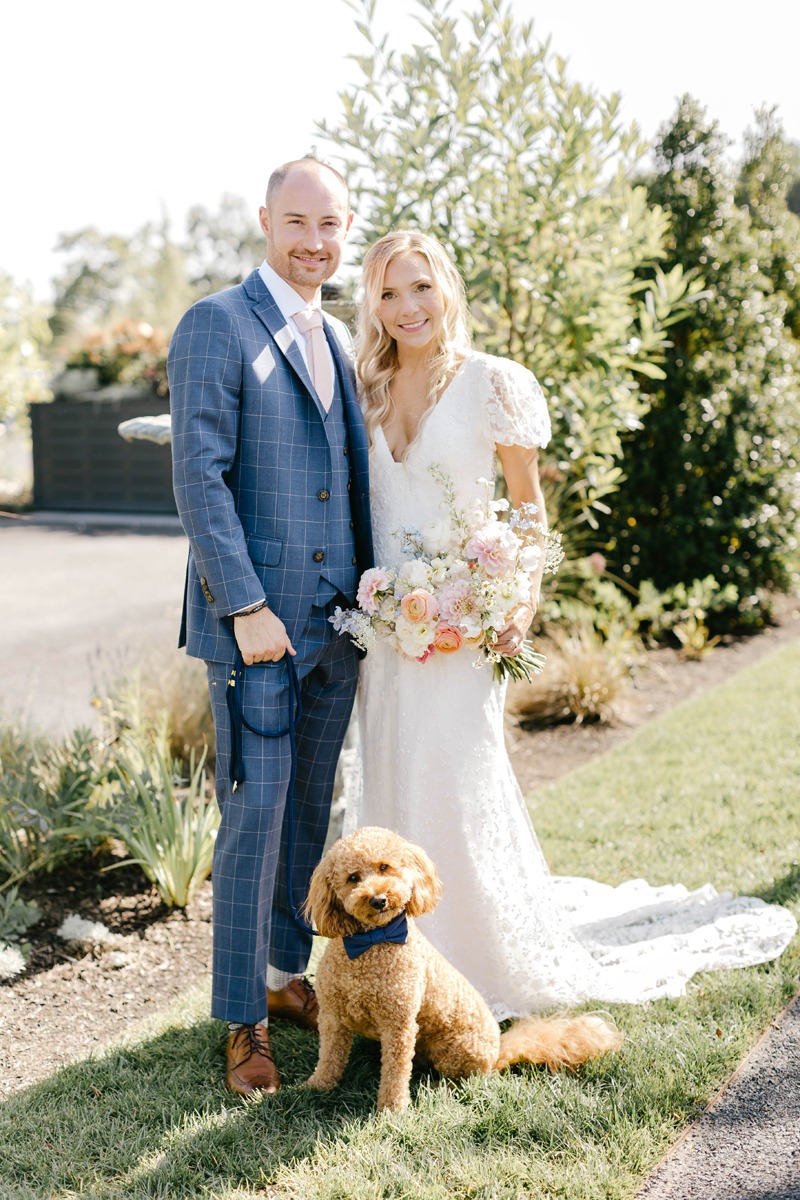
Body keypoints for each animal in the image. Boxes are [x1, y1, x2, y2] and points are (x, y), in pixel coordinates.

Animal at [303, 830, 623, 1108]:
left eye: (385, 867)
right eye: (353, 878)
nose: (379, 899)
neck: (370, 943)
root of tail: (498, 1052)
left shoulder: (399, 1026)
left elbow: (395, 1073)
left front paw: (392, 1109)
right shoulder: (331, 1017)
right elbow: (329, 1057)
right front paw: (317, 1087)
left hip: (455, 1050)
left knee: (465, 1079)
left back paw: (436, 1087)